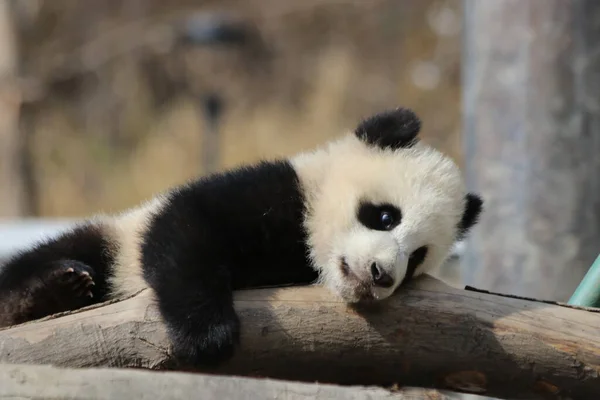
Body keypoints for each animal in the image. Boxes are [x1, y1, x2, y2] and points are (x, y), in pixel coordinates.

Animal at [0, 108, 482, 368]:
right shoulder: (275, 190)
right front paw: (208, 336)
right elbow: (185, 229)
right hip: (111, 242)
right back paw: (51, 289)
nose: (382, 275)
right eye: (384, 216)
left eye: (417, 257)